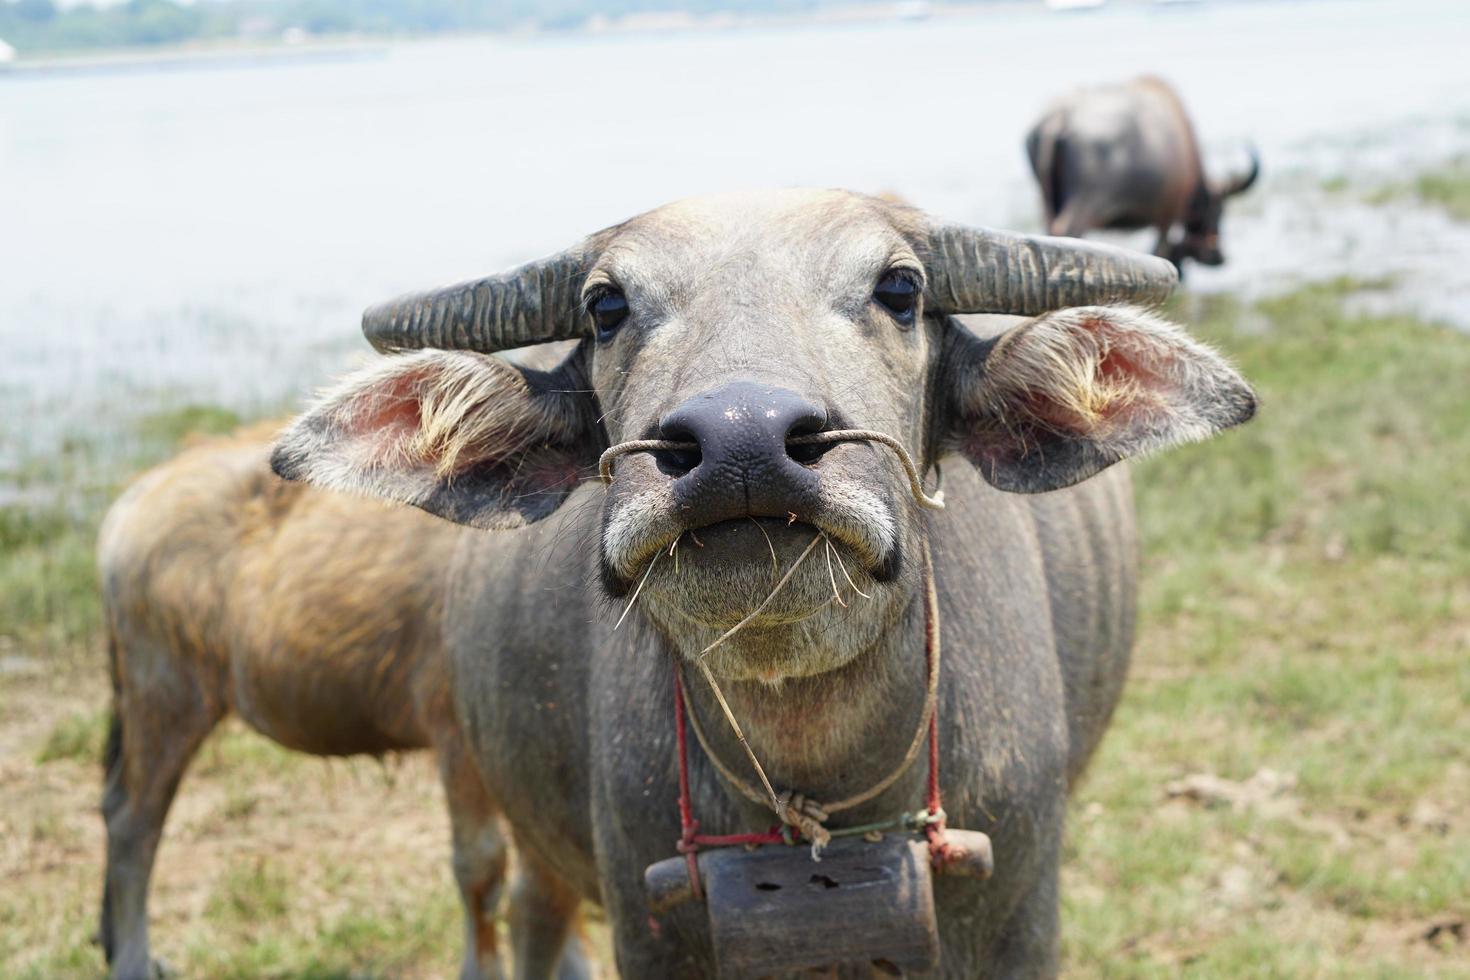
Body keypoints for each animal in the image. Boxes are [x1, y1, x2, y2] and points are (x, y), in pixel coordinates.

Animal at [94, 426, 590, 980]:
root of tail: (138, 497)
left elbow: (552, 886)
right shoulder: (455, 740)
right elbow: (482, 871)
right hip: (165, 700)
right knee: (134, 824)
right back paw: (133, 961)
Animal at [1029, 74, 1258, 270]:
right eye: (1218, 210)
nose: (1218, 257)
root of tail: (1059, 117)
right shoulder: (1168, 214)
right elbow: (1164, 250)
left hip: (1047, 200)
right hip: (1086, 202)